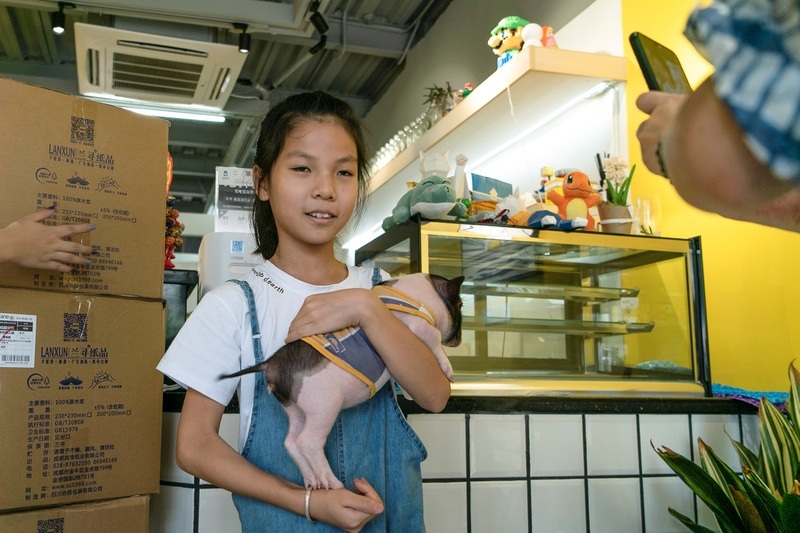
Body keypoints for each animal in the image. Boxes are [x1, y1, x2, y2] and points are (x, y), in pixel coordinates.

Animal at [222, 274, 466, 490]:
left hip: (295, 408)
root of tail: (270, 364)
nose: (460, 339)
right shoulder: (416, 326)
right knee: (307, 442)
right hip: (323, 405)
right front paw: (449, 373)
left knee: (290, 442)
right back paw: (333, 484)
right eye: (461, 304)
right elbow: (435, 336)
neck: (421, 296)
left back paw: (313, 482)